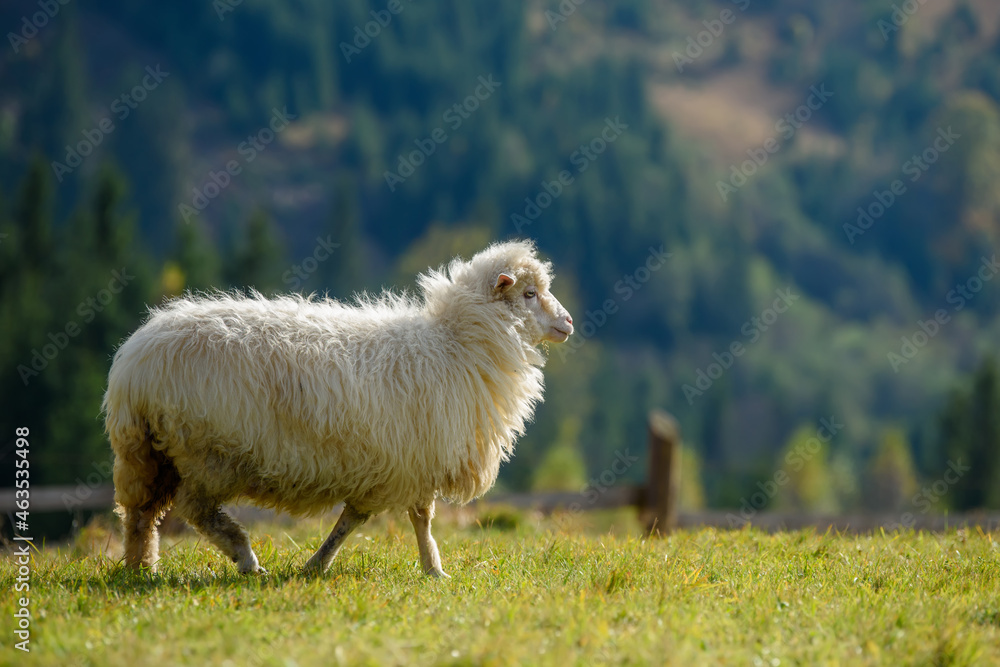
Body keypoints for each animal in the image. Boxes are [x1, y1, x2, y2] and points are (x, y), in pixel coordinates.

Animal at [102, 241, 576, 580]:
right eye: (530, 293)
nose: (569, 323)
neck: (457, 343)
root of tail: (135, 362)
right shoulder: (415, 458)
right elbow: (415, 518)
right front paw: (434, 569)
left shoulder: (397, 462)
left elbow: (361, 518)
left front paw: (321, 563)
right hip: (207, 452)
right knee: (194, 509)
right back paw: (245, 558)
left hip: (146, 451)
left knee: (140, 514)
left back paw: (140, 570)